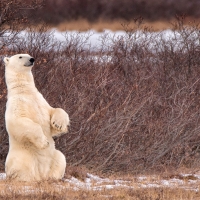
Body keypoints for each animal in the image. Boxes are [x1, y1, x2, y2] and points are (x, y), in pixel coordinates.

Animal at [3, 54, 69, 182]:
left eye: (28, 55)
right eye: (20, 56)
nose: (32, 59)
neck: (25, 91)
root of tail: (41, 174)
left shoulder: (41, 101)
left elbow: (54, 111)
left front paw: (59, 124)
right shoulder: (16, 104)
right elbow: (18, 121)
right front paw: (44, 142)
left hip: (53, 156)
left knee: (60, 158)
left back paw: (53, 178)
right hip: (23, 156)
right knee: (23, 166)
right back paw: (24, 178)